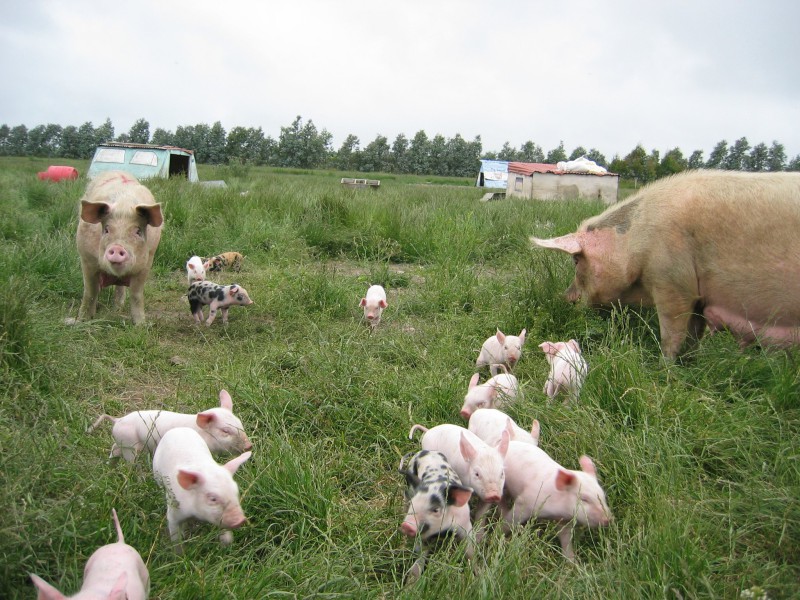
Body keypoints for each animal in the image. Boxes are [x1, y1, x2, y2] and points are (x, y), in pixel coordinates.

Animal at [73, 171, 164, 326]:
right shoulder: (86, 258)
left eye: (138, 231)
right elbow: (90, 291)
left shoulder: (147, 263)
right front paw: (82, 321)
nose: (116, 247)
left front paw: (141, 325)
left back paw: (118, 308)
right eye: (106, 229)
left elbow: (136, 294)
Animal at [532, 169, 800, 356]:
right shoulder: (698, 297)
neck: (635, 241)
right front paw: (688, 364)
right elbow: (693, 336)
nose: (565, 298)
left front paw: (665, 367)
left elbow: (671, 335)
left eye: (576, 260)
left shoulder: (673, 283)